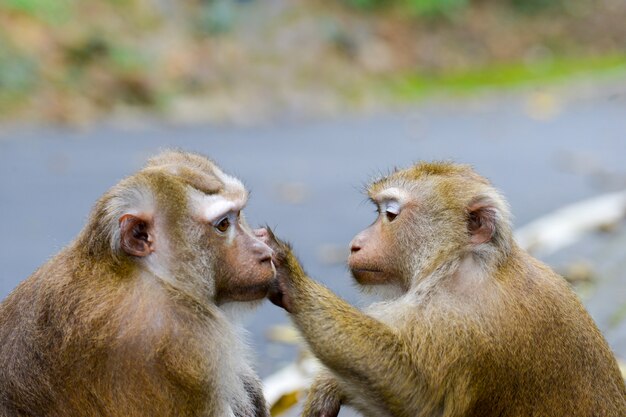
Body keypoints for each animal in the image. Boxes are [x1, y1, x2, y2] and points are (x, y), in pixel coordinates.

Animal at [264, 162, 624, 416]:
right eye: (378, 212)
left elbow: (417, 395)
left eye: (391, 214)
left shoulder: (460, 320)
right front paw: (327, 388)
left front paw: (291, 279)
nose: (355, 244)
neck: (457, 264)